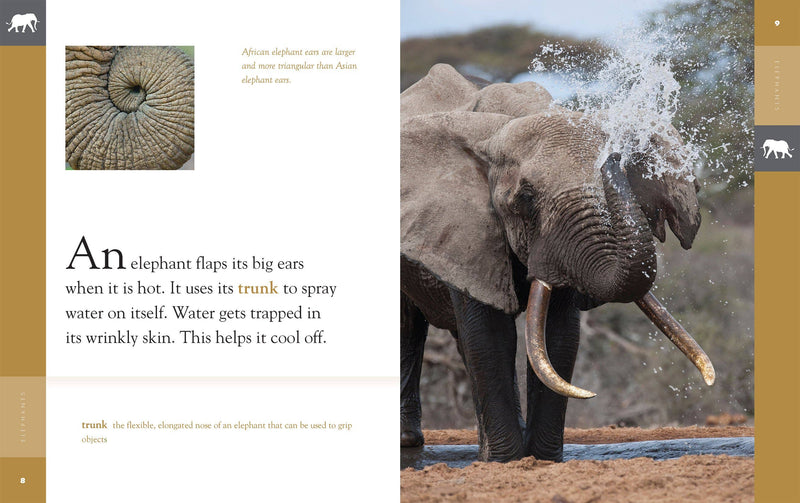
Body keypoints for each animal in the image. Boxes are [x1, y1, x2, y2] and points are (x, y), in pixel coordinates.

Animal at [400, 64, 715, 462]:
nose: (614, 156)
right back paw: (412, 442)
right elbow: (489, 336)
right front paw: (506, 463)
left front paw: (542, 460)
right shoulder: (466, 229)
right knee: (410, 326)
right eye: (526, 198)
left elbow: (558, 336)